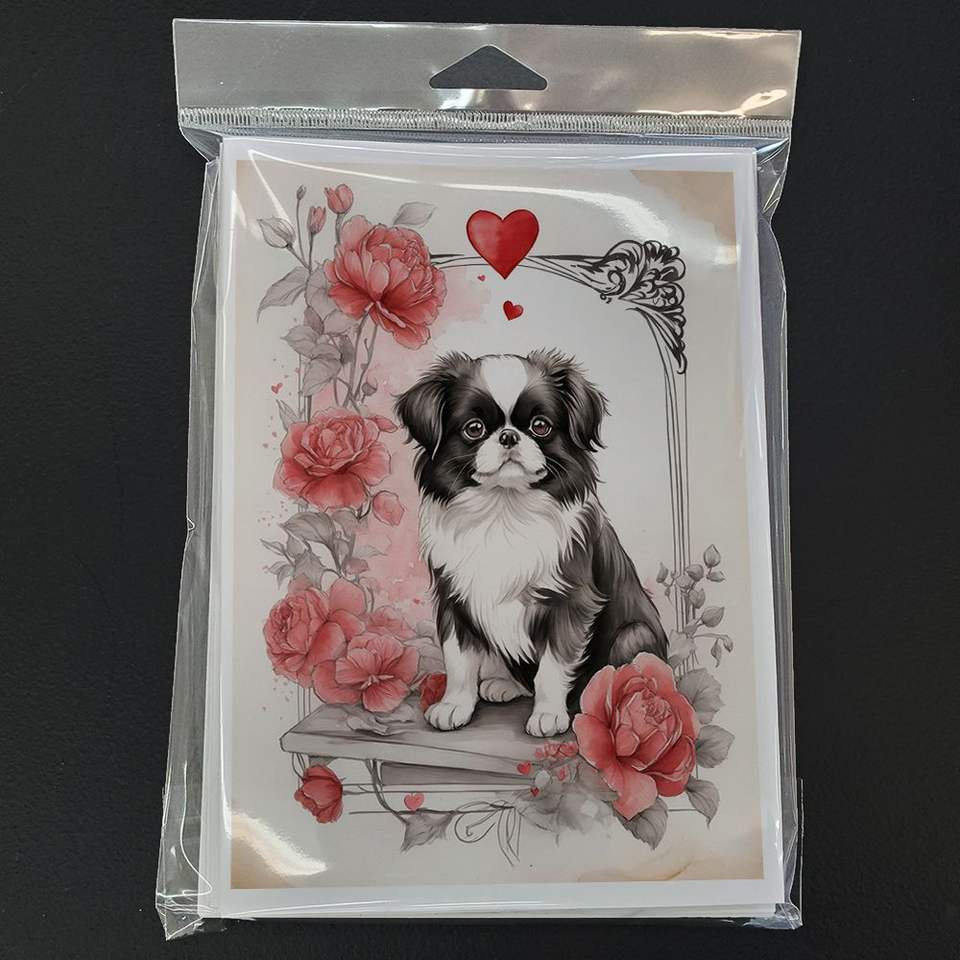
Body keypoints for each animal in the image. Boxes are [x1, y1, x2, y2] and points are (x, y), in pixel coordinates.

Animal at [395, 349, 667, 737]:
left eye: (540, 426)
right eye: (474, 429)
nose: (509, 437)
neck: (503, 510)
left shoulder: (569, 603)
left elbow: (553, 666)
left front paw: (549, 715)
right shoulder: (454, 601)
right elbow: (459, 661)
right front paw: (454, 706)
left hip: (635, 636)